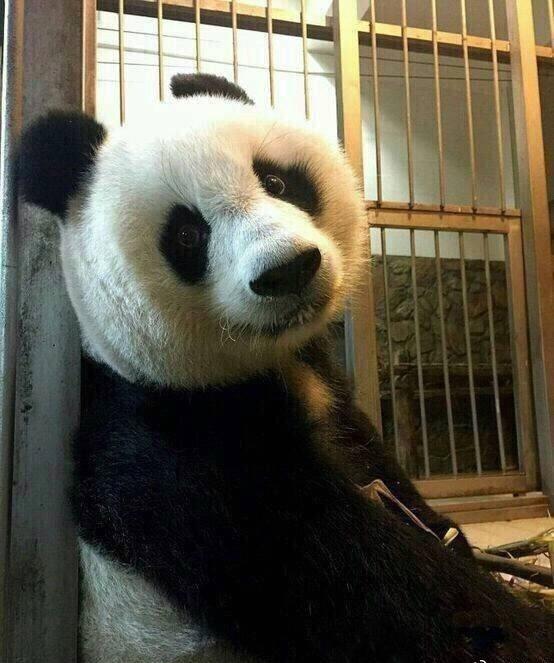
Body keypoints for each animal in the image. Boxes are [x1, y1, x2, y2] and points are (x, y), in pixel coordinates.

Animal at [18, 73, 554, 663]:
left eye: (275, 180)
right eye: (187, 235)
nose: (288, 269)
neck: (259, 366)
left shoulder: (322, 382)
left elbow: (383, 472)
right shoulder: (171, 438)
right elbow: (358, 580)